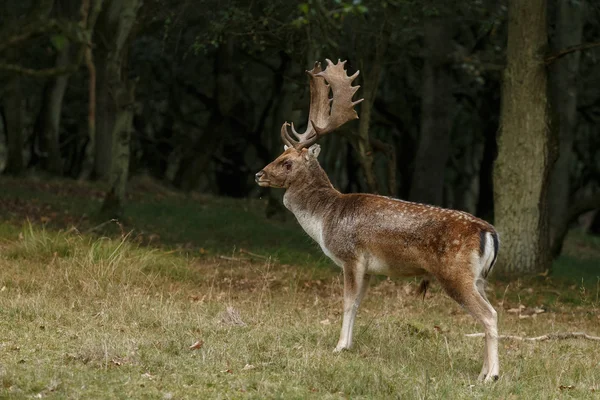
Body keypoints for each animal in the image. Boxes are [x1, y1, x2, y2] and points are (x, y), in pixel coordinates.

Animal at [254, 58, 502, 382]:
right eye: (278, 155)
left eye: (287, 162)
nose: (258, 174)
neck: (325, 218)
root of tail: (490, 233)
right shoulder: (369, 268)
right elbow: (359, 304)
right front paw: (348, 345)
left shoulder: (350, 256)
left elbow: (347, 302)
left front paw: (339, 347)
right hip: (479, 278)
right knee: (489, 312)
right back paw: (483, 371)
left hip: (455, 274)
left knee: (490, 315)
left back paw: (492, 376)